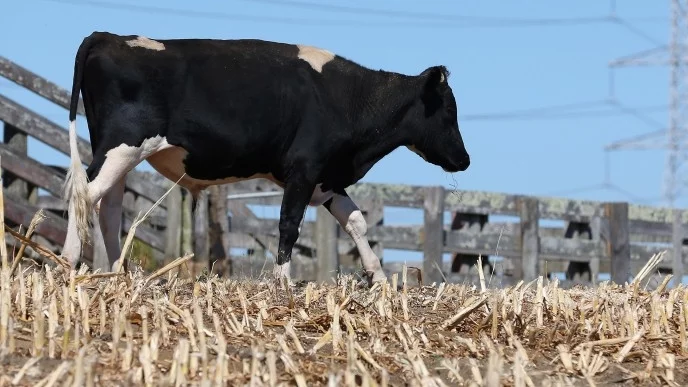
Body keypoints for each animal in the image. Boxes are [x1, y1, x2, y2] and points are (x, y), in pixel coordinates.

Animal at [61, 32, 470, 288]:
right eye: (449, 111)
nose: (465, 160)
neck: (347, 97)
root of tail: (110, 37)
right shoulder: (304, 170)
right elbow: (289, 225)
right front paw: (283, 280)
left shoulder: (327, 177)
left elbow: (356, 221)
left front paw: (379, 278)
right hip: (123, 146)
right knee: (86, 195)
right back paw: (68, 261)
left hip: (117, 153)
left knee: (108, 207)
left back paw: (119, 272)